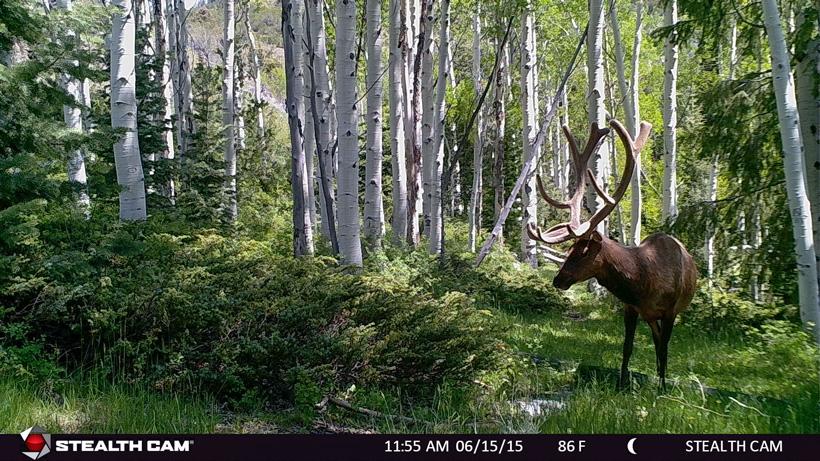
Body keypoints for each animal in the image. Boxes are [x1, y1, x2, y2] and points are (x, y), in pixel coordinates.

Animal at [527, 119, 698, 390]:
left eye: (583, 252)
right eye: (570, 249)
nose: (558, 279)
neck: (644, 282)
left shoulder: (671, 311)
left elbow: (664, 350)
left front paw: (661, 388)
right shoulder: (631, 308)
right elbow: (627, 348)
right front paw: (621, 383)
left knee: (661, 345)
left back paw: (661, 379)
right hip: (650, 317)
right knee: (655, 339)